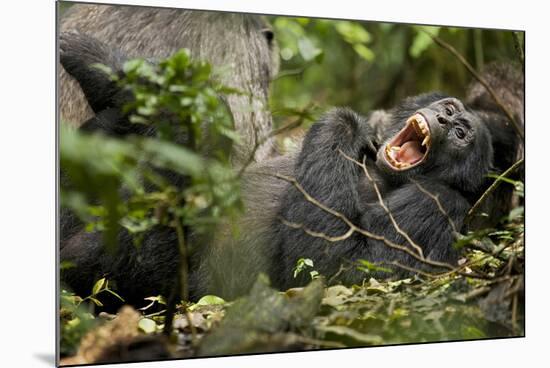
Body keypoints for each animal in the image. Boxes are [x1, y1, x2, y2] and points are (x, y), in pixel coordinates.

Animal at [58, 31, 524, 304]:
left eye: (461, 133)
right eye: (449, 107)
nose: (444, 118)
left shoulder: (438, 204)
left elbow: (339, 267)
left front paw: (344, 122)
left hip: (143, 276)